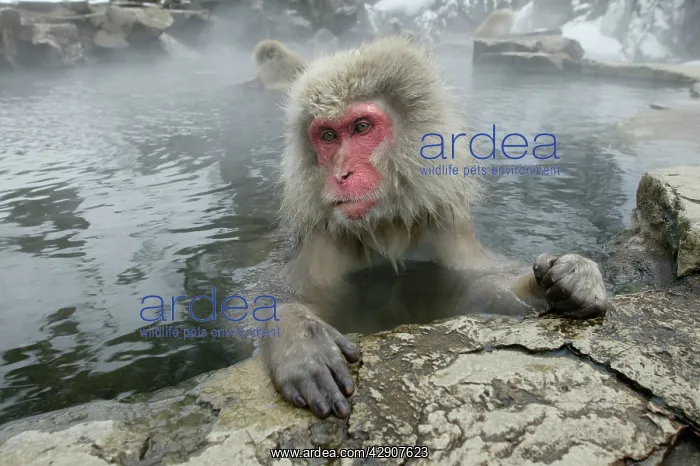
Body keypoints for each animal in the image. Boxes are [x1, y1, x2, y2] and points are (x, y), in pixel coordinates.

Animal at [260, 36, 608, 420]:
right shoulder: (326, 234)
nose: (340, 174)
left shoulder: (447, 222)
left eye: (361, 128)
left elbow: (477, 285)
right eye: (328, 136)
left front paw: (568, 277)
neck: (386, 223)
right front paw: (299, 336)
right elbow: (298, 296)